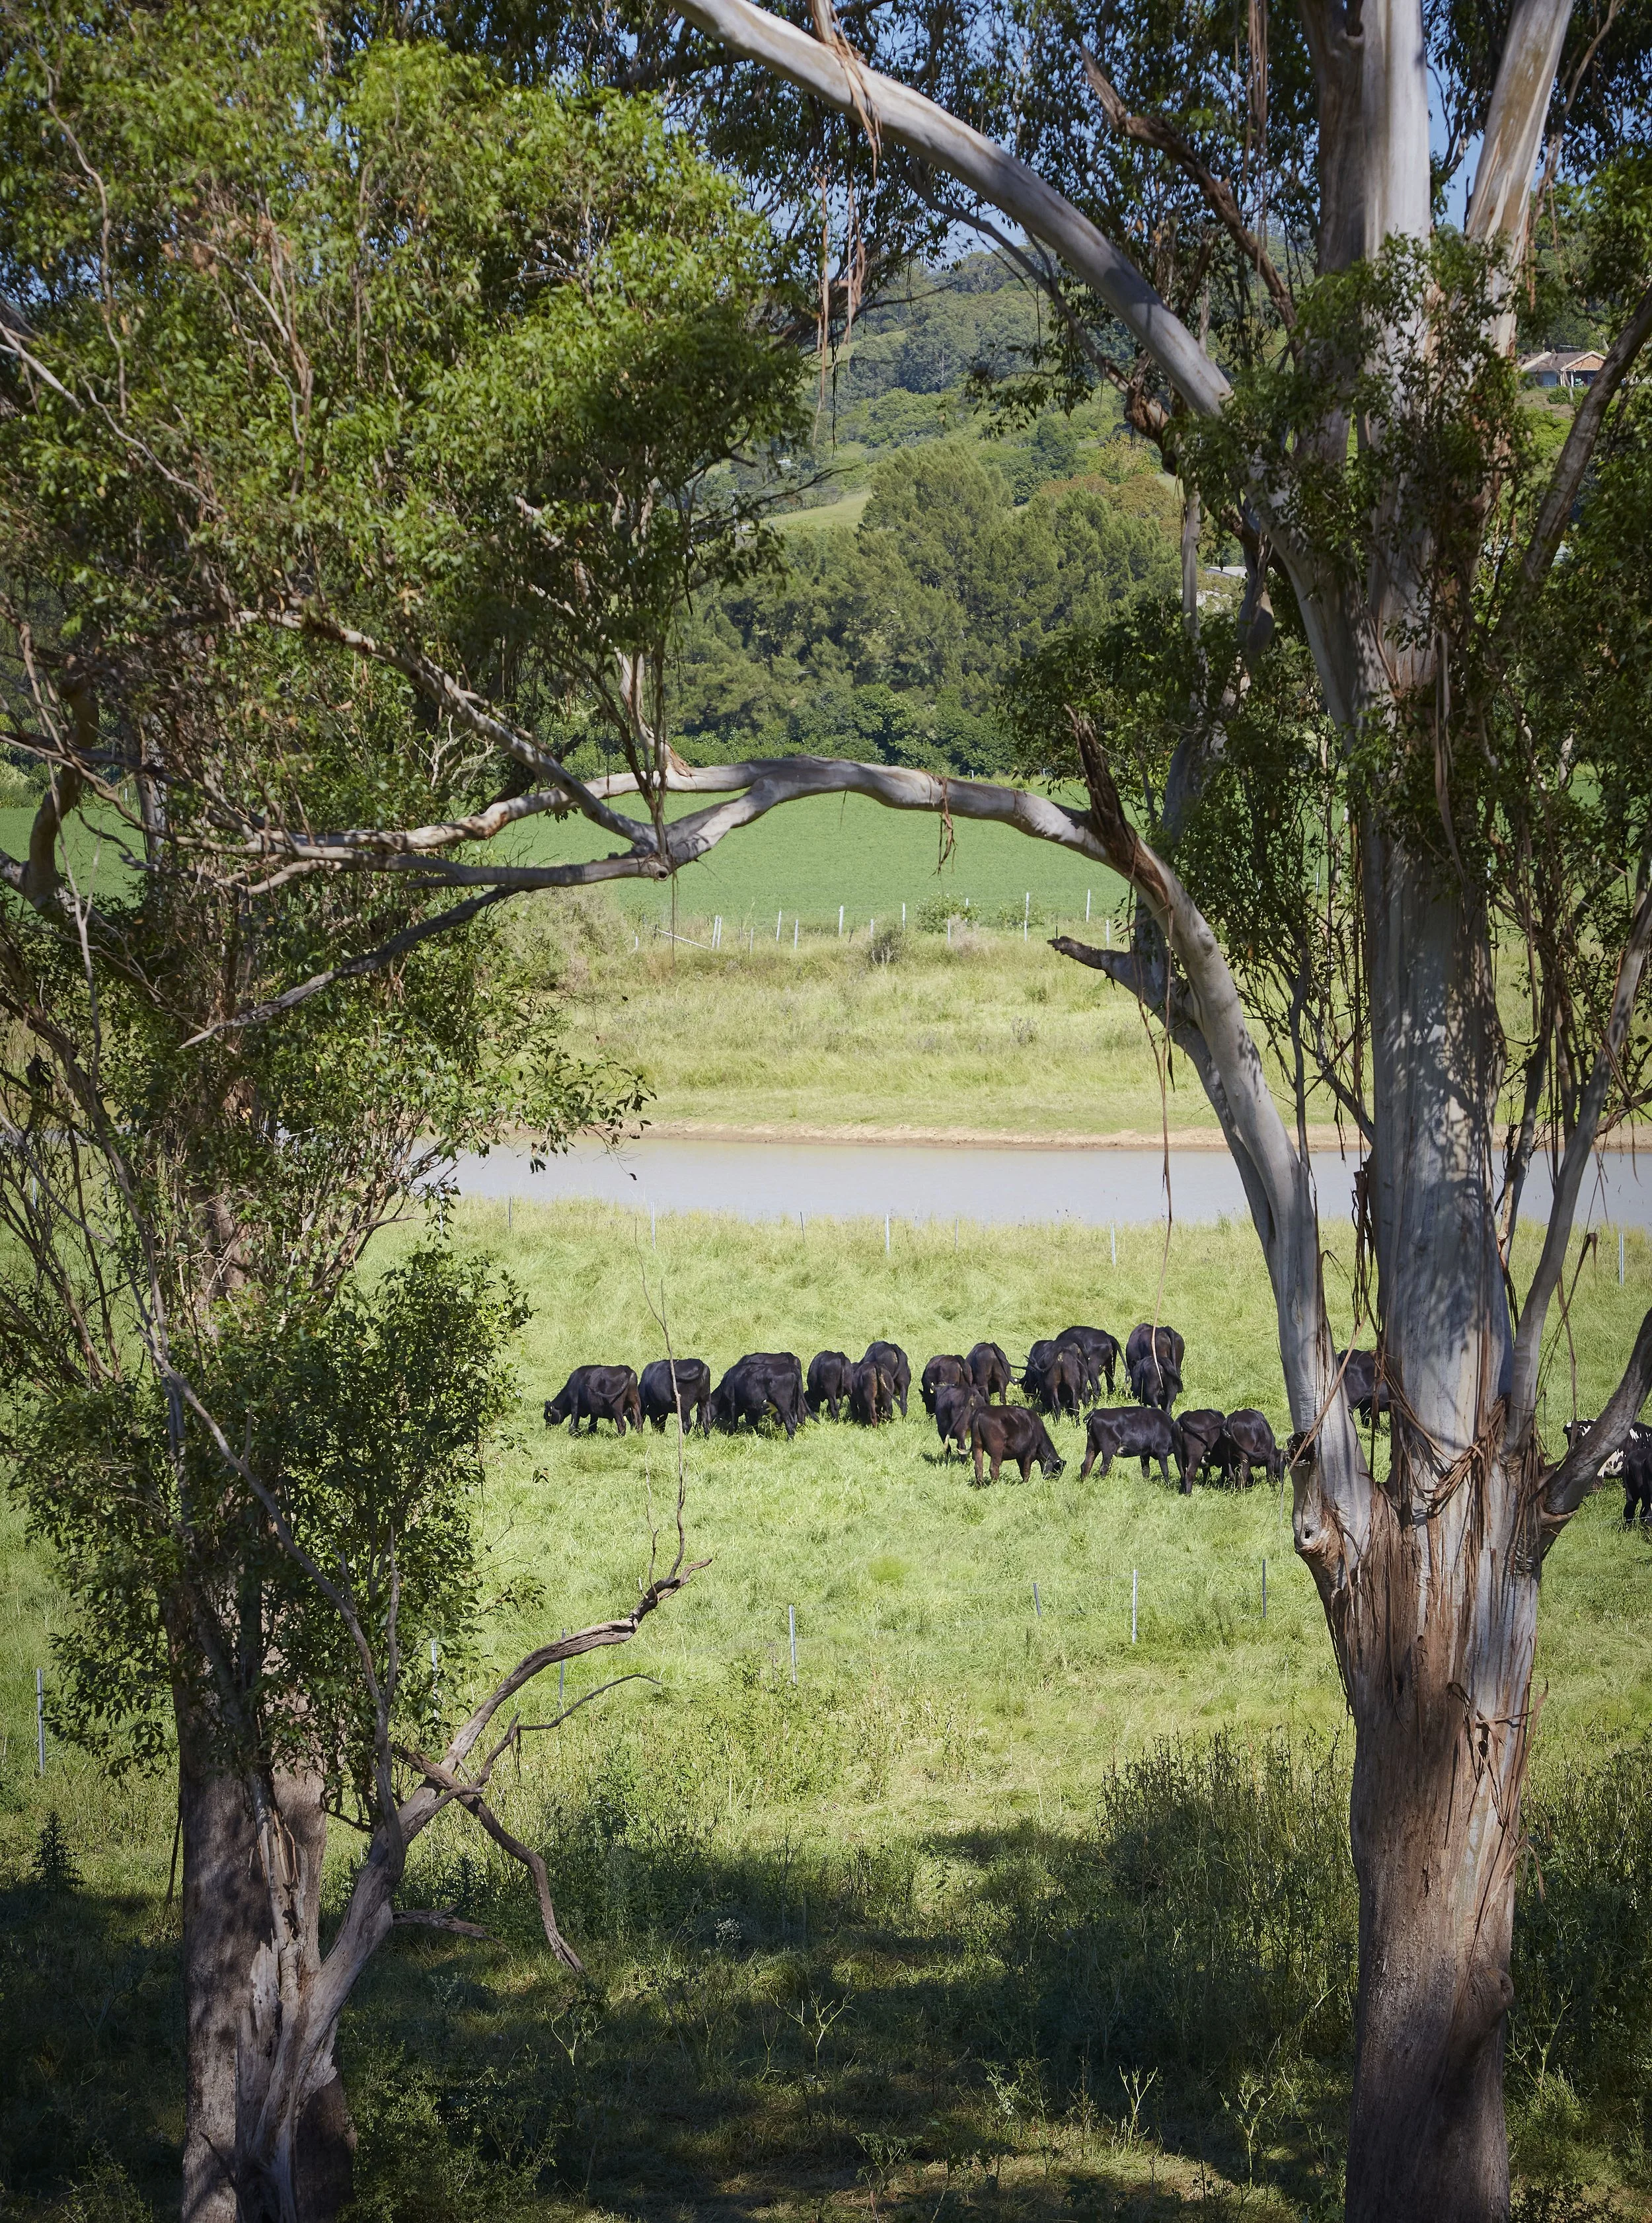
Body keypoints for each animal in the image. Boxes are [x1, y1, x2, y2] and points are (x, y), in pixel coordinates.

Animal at [544, 1364, 641, 1436]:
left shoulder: (575, 1405)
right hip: (635, 1403)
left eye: (547, 1416)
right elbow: (592, 1425)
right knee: (638, 1421)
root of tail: (626, 1368)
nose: (547, 1427)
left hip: (616, 1407)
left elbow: (574, 1423)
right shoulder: (594, 1411)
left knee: (622, 1423)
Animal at [710, 1352, 807, 1440]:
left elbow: (735, 1423)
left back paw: (789, 1440)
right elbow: (754, 1424)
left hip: (783, 1405)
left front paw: (733, 1436)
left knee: (790, 1421)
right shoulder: (752, 1407)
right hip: (795, 1402)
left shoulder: (733, 1404)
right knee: (798, 1415)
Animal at [971, 1404, 1064, 1484]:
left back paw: (981, 1485)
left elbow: (1022, 1470)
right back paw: (996, 1485)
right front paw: (1026, 1484)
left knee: (978, 1467)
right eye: (1058, 1471)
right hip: (997, 1449)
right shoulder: (1030, 1452)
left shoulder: (1020, 1456)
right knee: (993, 1468)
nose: (1053, 1482)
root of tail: (982, 1410)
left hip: (977, 1446)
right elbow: (1026, 1470)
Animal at [1078, 1404, 1178, 1485]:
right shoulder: (1162, 1452)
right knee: (1104, 1468)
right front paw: (1168, 1486)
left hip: (1092, 1446)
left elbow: (1146, 1470)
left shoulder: (1145, 1454)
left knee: (1086, 1465)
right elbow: (1165, 1471)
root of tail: (1095, 1412)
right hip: (1108, 1450)